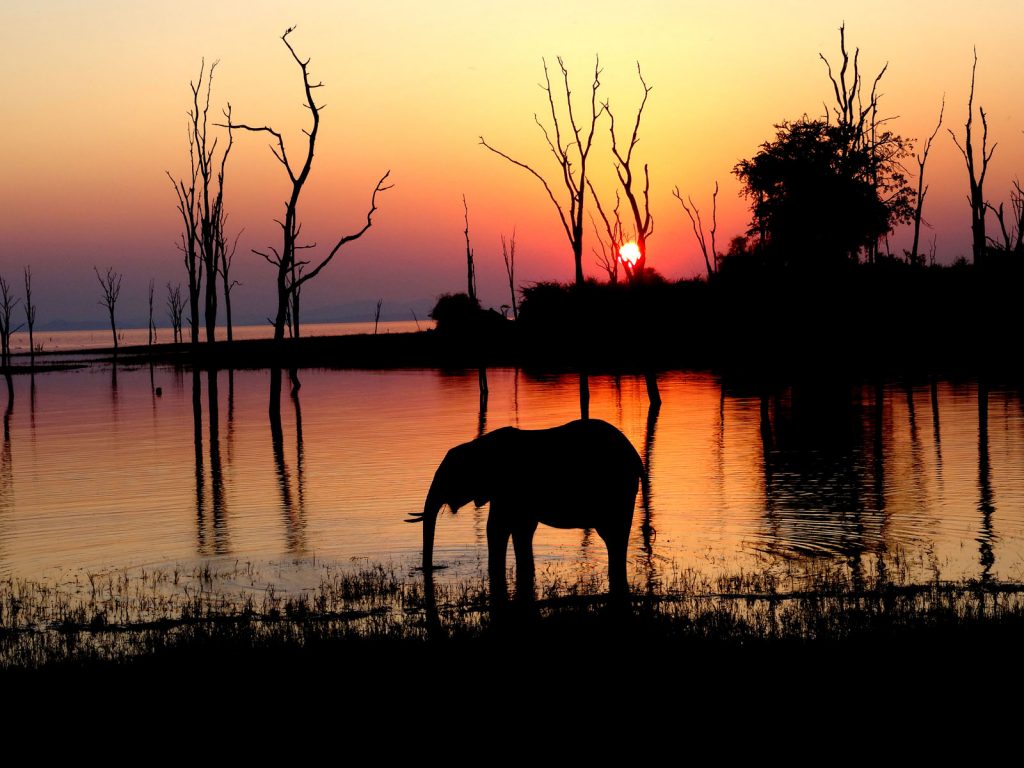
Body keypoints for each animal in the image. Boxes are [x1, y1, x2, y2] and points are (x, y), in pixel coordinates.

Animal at [409, 417, 643, 598]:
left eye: (450, 476)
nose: (429, 569)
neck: (478, 446)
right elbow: (521, 530)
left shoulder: (509, 488)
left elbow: (497, 528)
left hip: (616, 493)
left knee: (612, 535)